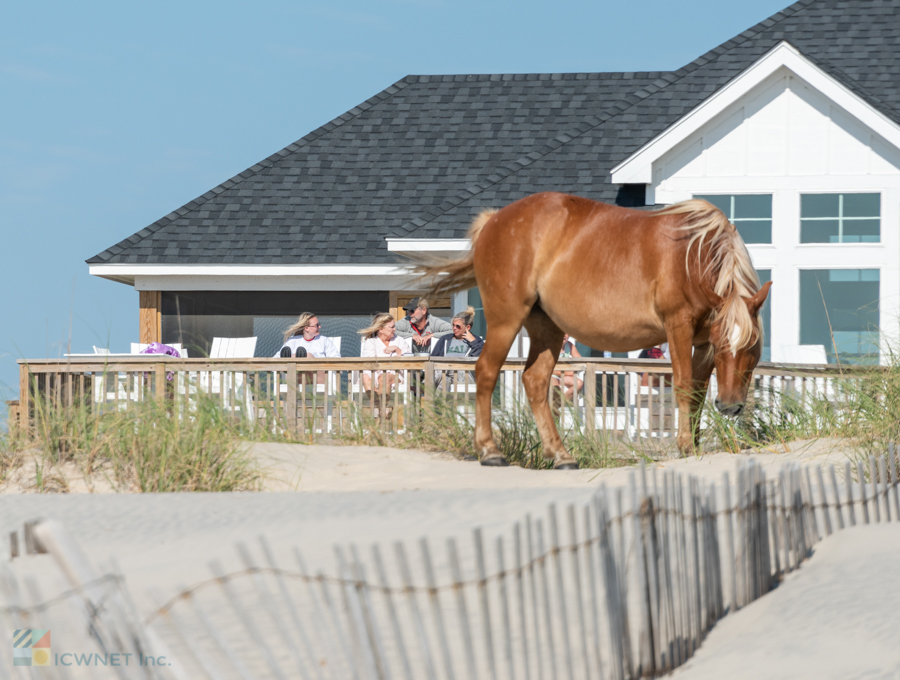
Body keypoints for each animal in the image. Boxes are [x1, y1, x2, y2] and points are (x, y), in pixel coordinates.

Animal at [418, 191, 768, 468]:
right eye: (725, 346)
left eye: (753, 346)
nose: (731, 406)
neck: (692, 254)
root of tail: (494, 220)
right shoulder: (678, 326)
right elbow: (682, 386)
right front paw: (684, 445)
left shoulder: (702, 340)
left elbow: (696, 393)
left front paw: (693, 444)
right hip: (506, 320)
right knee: (487, 372)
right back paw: (490, 450)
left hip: (548, 329)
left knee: (535, 382)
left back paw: (560, 454)